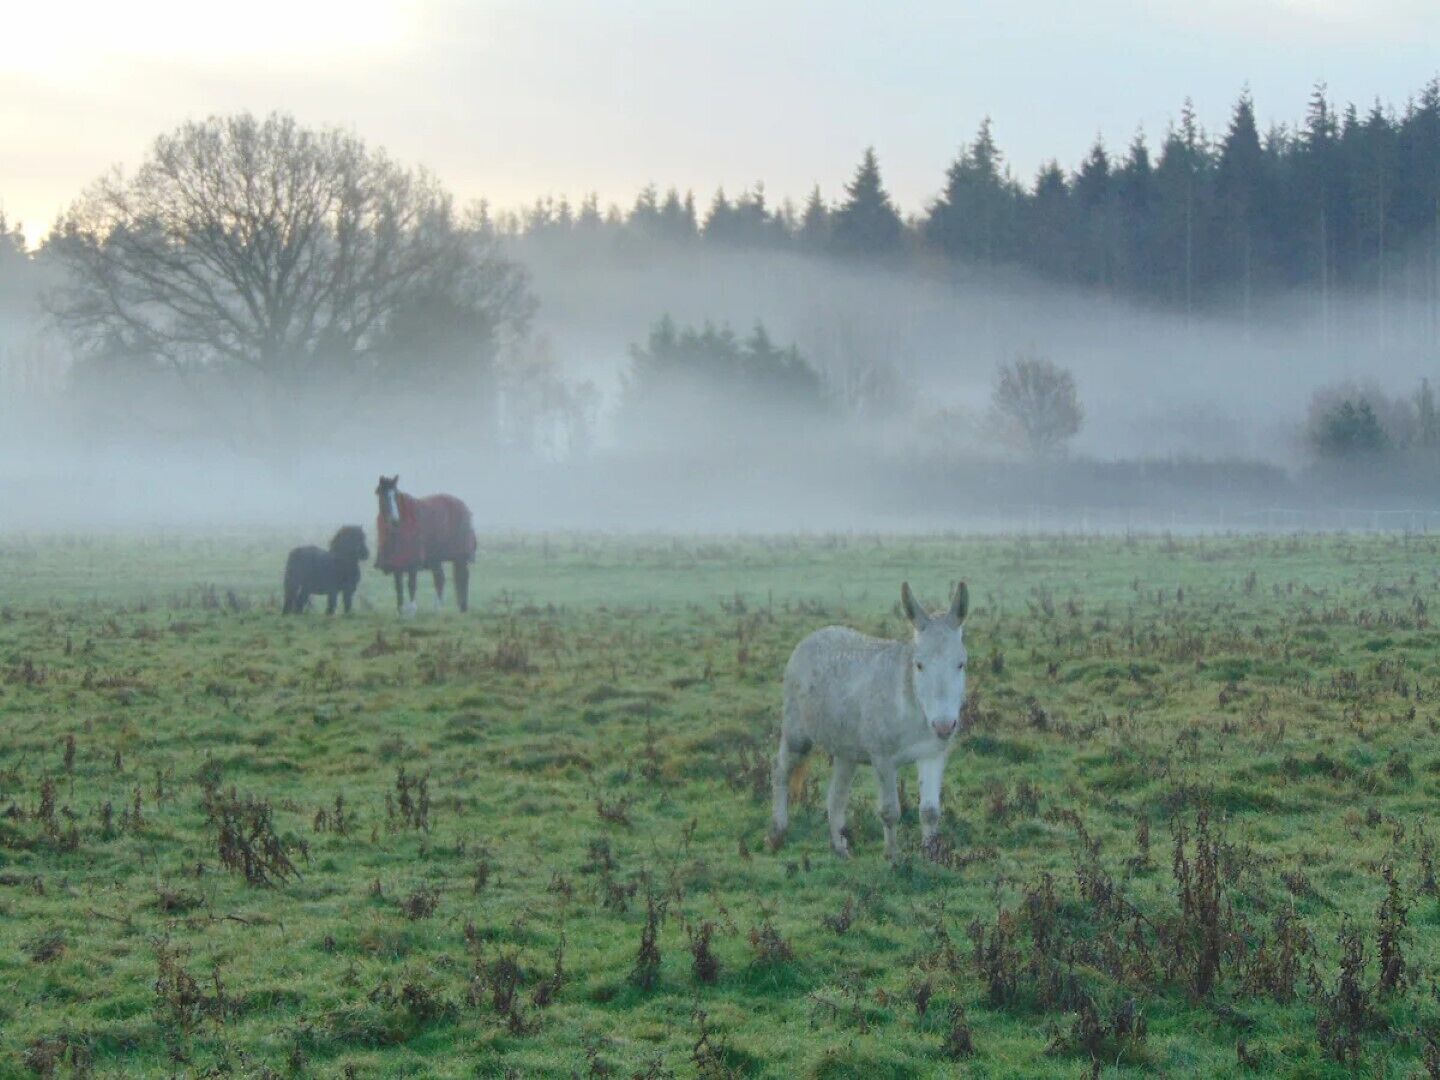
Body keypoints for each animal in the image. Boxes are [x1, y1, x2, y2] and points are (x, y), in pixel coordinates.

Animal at [374, 475, 477, 614]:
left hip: (460, 555)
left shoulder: (413, 562)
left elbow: (411, 584)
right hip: (436, 557)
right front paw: (400, 610)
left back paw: (460, 607)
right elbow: (398, 587)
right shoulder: (397, 563)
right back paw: (440, 608)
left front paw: (412, 609)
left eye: (396, 495)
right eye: (384, 495)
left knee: (463, 577)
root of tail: (463, 507)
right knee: (440, 579)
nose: (395, 521)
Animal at [769, 580, 969, 860]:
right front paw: (894, 859)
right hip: (797, 735)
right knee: (780, 772)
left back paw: (840, 849)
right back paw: (777, 833)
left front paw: (930, 856)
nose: (943, 726)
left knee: (836, 796)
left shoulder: (932, 755)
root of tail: (813, 636)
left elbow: (930, 812)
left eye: (961, 664)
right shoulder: (882, 758)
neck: (913, 708)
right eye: (919, 665)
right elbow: (890, 811)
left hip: (846, 752)